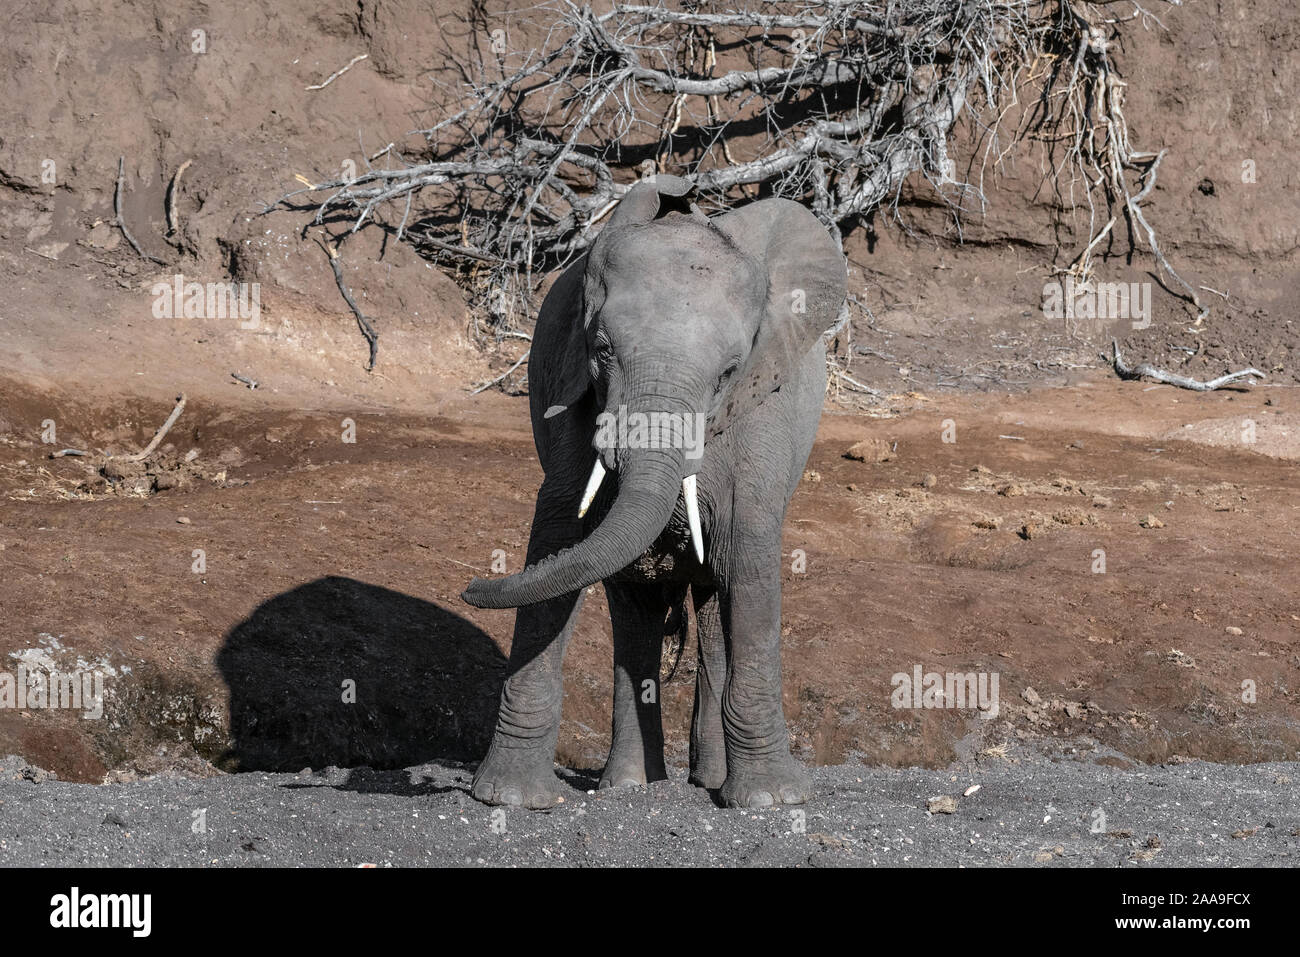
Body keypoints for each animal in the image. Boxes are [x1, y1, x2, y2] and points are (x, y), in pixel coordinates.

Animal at [462, 174, 847, 806]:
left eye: (728, 372)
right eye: (601, 349)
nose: (470, 586)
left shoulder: (762, 406)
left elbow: (748, 558)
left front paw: (773, 800)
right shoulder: (575, 395)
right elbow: (557, 535)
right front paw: (509, 799)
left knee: (713, 604)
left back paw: (709, 781)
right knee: (634, 605)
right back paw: (629, 786)